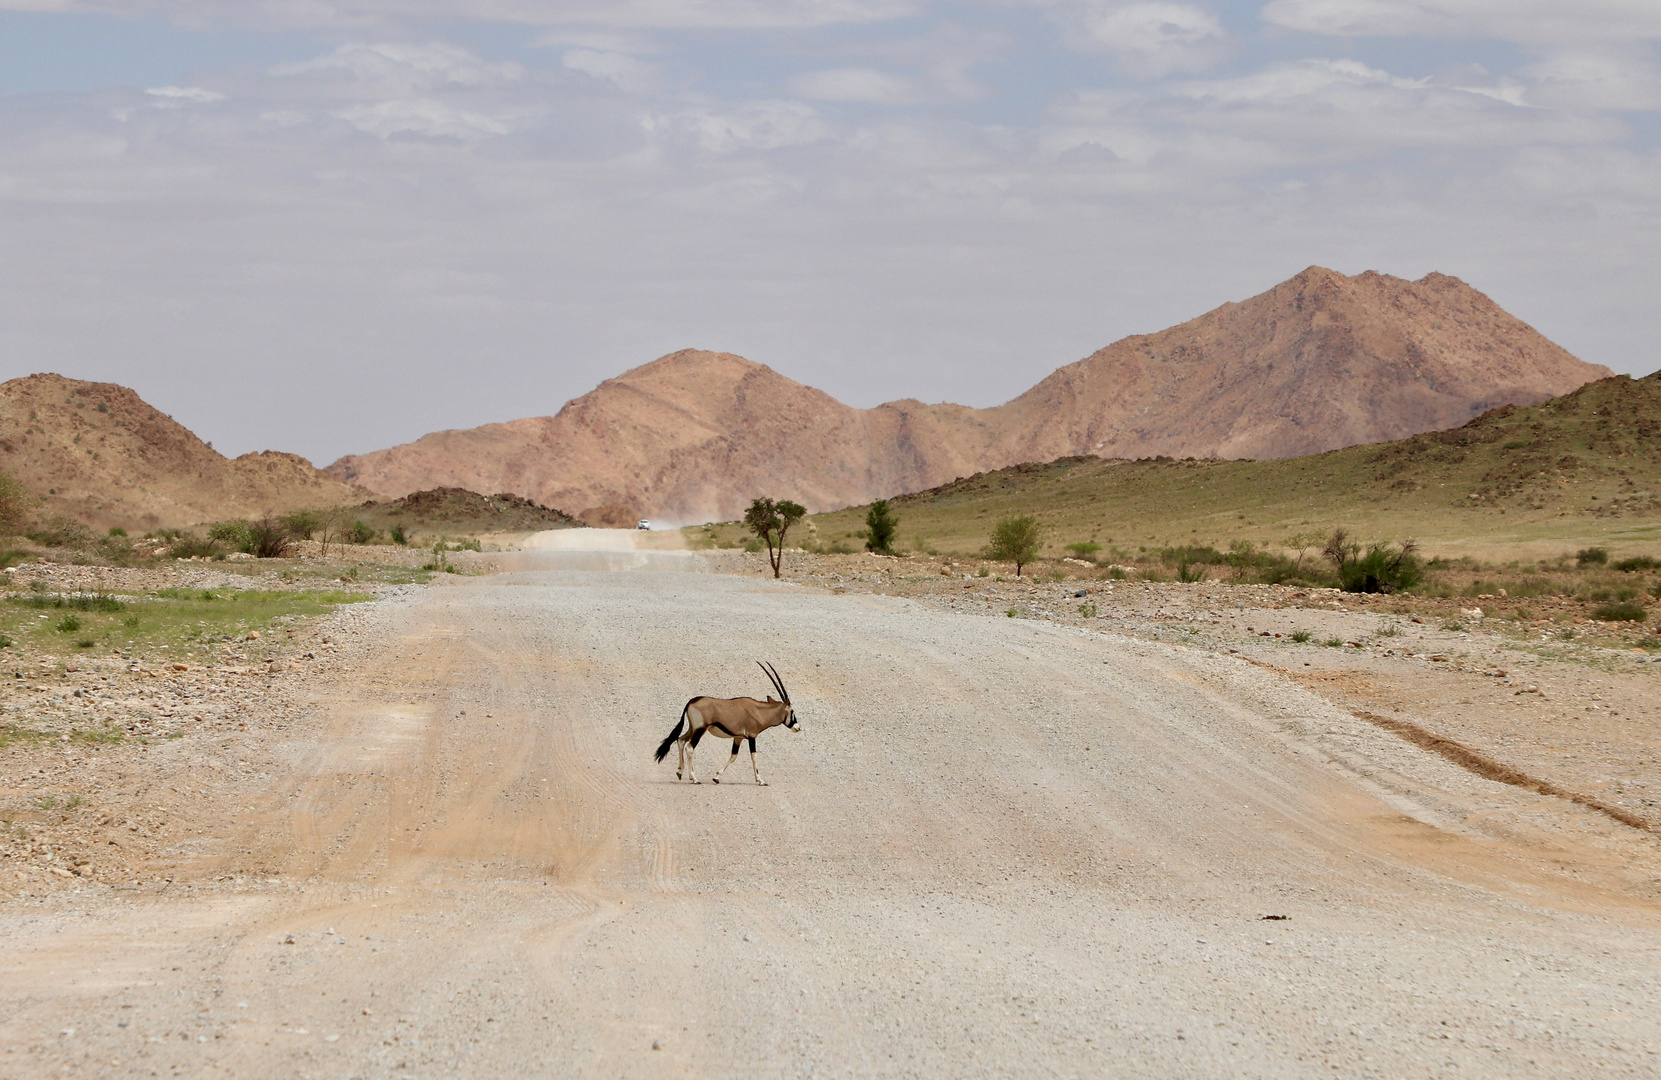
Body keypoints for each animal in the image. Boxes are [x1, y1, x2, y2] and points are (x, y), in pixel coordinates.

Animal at [651, 654, 800, 780]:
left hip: (692, 728)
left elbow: (733, 756)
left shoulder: (738, 738)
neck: (759, 711)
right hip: (700, 729)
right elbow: (754, 756)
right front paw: (760, 780)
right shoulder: (752, 736)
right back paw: (694, 778)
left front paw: (716, 777)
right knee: (690, 748)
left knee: (681, 740)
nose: (798, 727)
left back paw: (680, 772)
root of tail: (691, 701)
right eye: (792, 711)